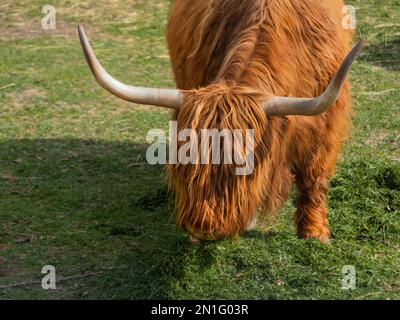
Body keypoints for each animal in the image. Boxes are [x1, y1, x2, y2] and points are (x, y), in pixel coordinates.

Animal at [76, 0, 364, 244]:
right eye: (183, 164)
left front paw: (315, 233)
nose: (203, 228)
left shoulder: (326, 125)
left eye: (242, 167)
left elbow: (314, 178)